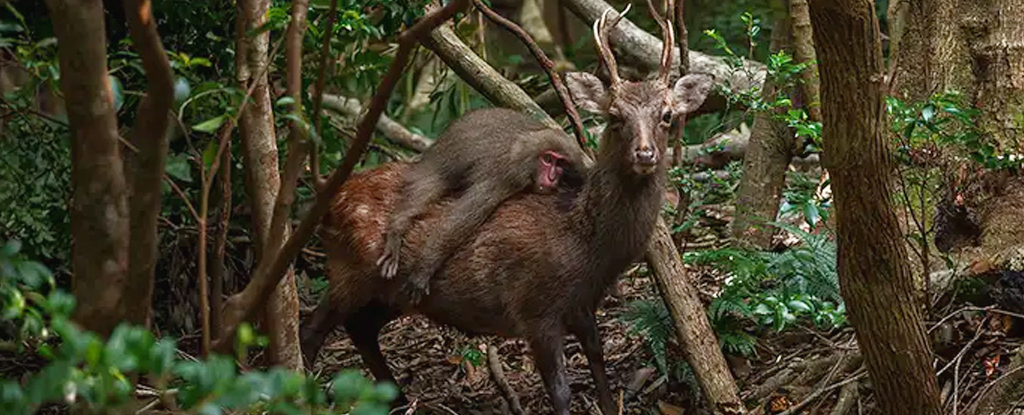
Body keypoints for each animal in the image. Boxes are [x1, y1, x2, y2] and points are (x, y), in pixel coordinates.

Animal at [374, 106, 585, 301]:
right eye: (547, 159)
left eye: (560, 164)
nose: (551, 178)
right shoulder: (506, 175)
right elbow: (460, 222)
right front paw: (423, 269)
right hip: (443, 157)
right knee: (429, 184)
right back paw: (397, 226)